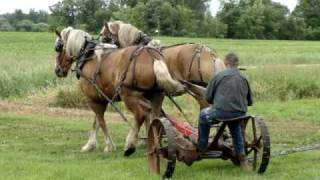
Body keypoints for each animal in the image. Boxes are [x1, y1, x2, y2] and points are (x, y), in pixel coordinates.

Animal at [54, 27, 184, 156]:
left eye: (58, 48)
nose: (58, 70)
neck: (87, 55)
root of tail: (152, 55)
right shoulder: (101, 97)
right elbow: (96, 121)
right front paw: (90, 144)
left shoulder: (93, 99)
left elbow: (100, 121)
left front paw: (108, 145)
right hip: (156, 95)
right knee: (154, 116)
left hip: (129, 95)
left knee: (141, 114)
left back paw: (130, 145)